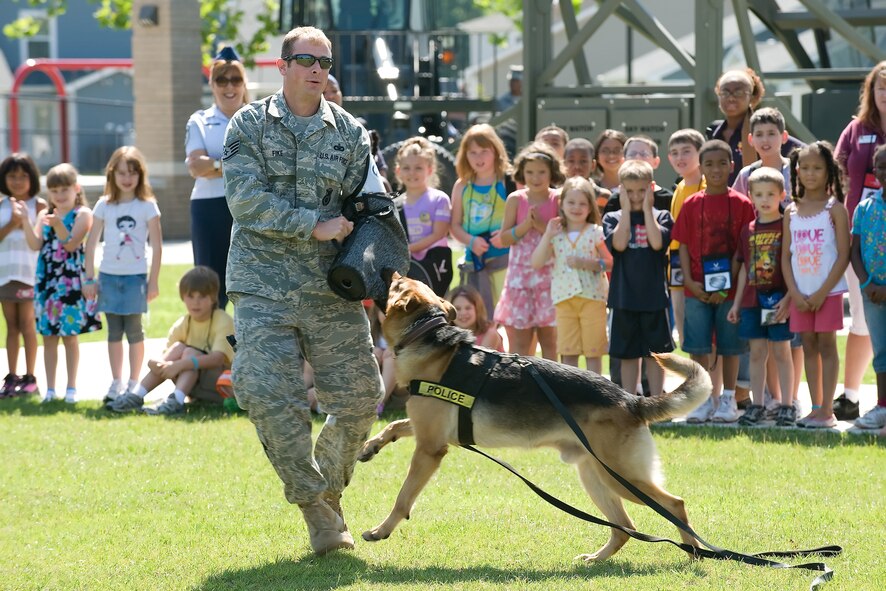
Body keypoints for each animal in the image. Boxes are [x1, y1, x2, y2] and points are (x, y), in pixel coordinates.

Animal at [358, 276, 712, 560]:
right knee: (624, 527)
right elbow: (394, 425)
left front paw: (381, 530)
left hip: (620, 476)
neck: (429, 339)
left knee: (674, 505)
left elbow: (403, 497)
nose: (388, 268)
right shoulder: (428, 431)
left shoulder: (430, 449)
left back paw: (694, 554)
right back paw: (597, 559)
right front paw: (370, 446)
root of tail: (632, 400)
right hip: (595, 476)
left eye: (397, 281)